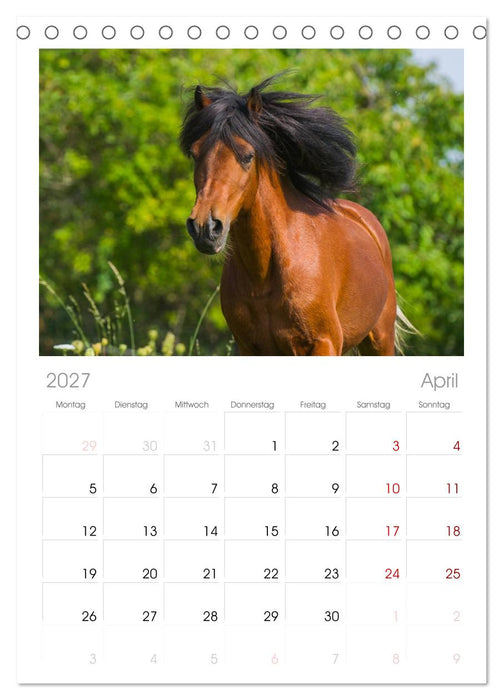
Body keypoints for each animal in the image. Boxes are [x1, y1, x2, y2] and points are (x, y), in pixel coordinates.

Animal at [180, 75, 407, 356]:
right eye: (195, 153)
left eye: (248, 156)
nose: (205, 227)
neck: (264, 275)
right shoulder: (249, 348)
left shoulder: (323, 343)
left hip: (380, 341)